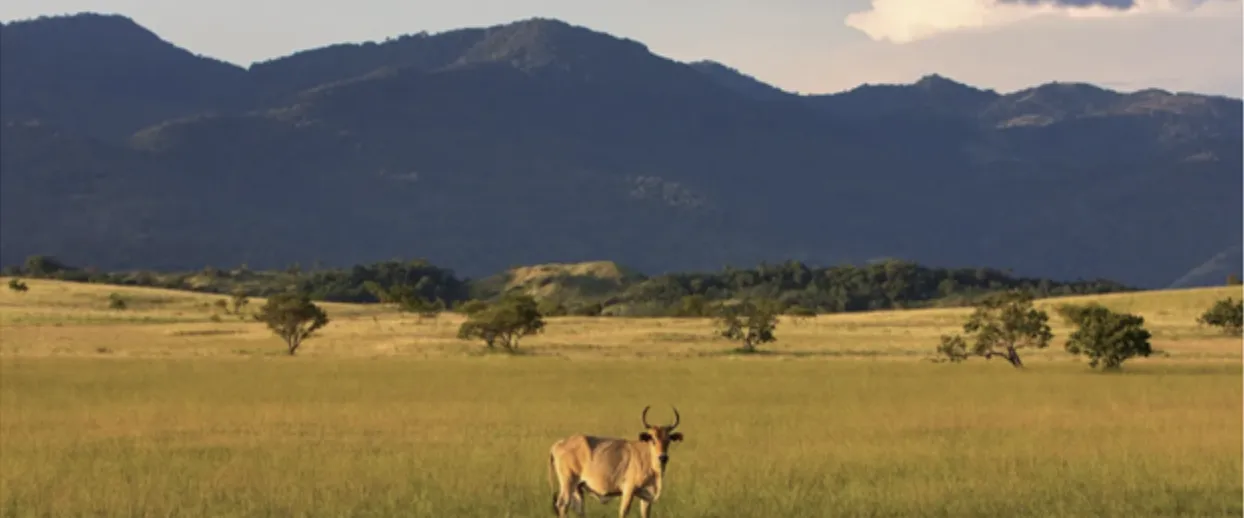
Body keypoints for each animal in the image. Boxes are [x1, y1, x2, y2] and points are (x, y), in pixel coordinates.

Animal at [547, 406, 685, 518]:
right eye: (653, 439)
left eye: (668, 440)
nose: (663, 457)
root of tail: (558, 444)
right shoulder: (629, 490)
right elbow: (623, 511)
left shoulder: (646, 497)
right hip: (568, 482)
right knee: (563, 504)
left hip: (577, 487)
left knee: (579, 509)